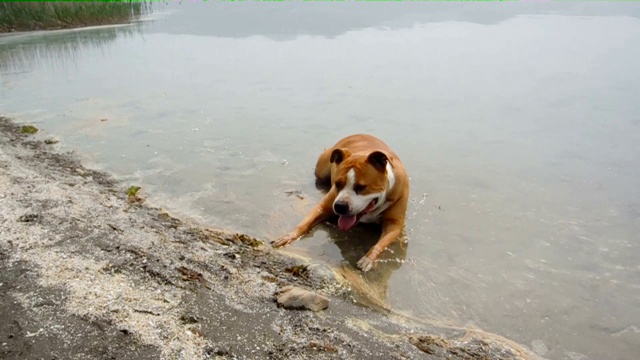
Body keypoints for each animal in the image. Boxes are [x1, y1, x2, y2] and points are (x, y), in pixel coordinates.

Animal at [272, 134, 410, 272]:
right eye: (338, 184)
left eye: (361, 187)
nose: (340, 206)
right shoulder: (323, 207)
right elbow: (304, 223)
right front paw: (289, 236)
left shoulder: (394, 224)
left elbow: (381, 244)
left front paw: (368, 258)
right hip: (322, 171)